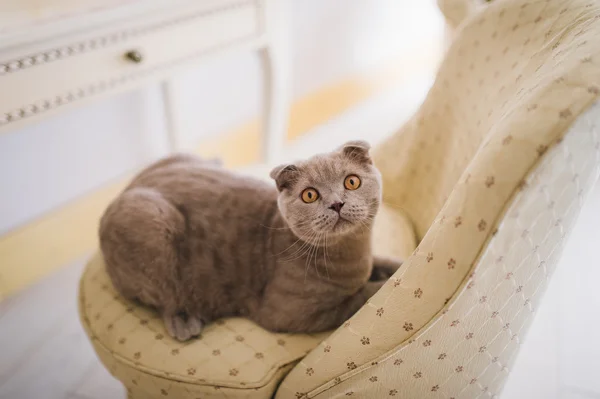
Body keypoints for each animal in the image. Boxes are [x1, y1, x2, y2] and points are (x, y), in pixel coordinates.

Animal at [99, 141, 404, 340]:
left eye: (351, 182)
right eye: (310, 195)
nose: (337, 204)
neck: (351, 253)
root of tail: (121, 192)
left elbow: (382, 264)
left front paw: (400, 264)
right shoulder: (289, 314)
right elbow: (361, 296)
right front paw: (382, 283)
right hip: (154, 224)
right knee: (167, 297)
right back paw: (186, 323)